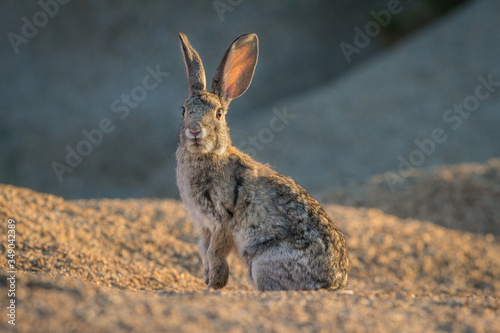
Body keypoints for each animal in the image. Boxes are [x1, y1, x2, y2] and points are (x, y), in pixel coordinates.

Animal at [176, 32, 348, 290]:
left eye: (218, 113)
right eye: (183, 111)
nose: (195, 131)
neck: (209, 155)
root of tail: (334, 286)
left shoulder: (222, 219)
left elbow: (215, 252)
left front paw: (215, 284)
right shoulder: (204, 224)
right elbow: (202, 249)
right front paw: (207, 280)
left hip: (262, 264)